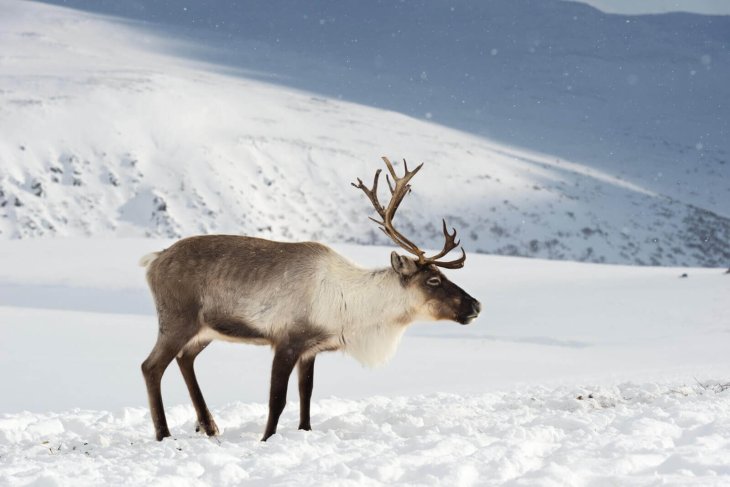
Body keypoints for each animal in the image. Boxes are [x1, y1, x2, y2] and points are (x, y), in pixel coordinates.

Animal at [139, 157, 481, 442]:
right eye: (434, 280)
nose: (476, 305)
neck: (355, 308)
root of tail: (154, 260)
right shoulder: (286, 342)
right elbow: (277, 400)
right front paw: (267, 440)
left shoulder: (311, 349)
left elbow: (306, 394)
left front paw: (305, 431)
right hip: (177, 320)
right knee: (151, 366)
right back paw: (164, 434)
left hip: (205, 330)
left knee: (185, 359)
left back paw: (209, 426)